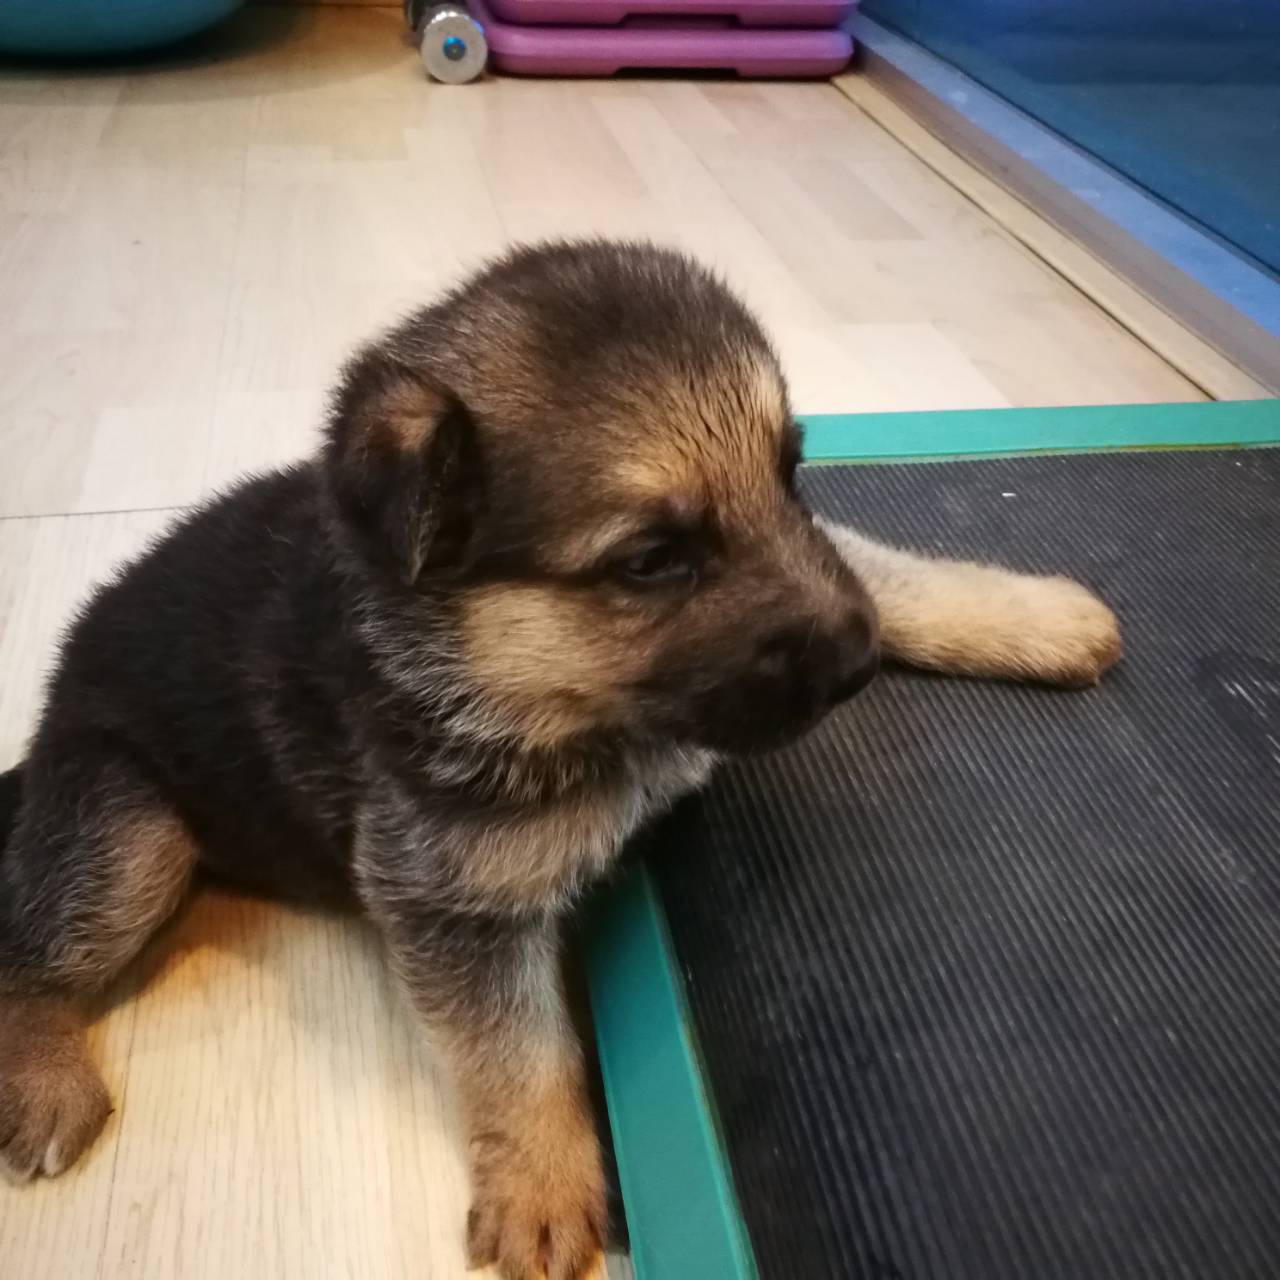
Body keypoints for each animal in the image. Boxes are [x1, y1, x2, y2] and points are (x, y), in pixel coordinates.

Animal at [0, 240, 1120, 1279]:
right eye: (651, 560)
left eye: (790, 474)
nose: (853, 666)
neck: (548, 689)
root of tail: (55, 698)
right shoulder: (459, 902)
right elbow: (519, 1051)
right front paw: (543, 1186)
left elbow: (881, 570)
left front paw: (1033, 615)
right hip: (129, 830)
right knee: (27, 952)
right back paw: (47, 1080)